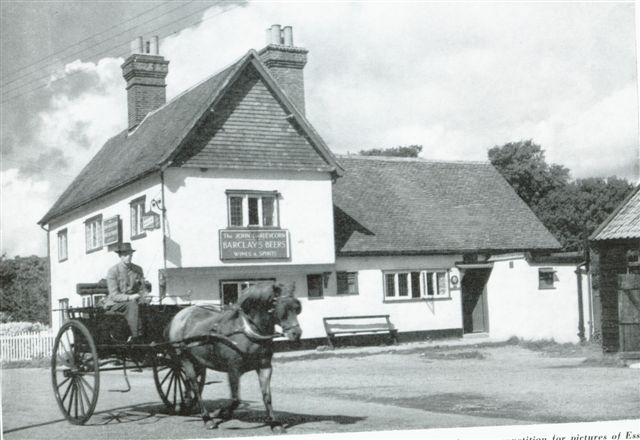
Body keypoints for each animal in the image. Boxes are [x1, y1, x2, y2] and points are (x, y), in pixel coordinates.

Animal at [168, 282, 302, 430]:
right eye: (282, 308)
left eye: (297, 308)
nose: (297, 333)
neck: (247, 331)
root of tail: (180, 315)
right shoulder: (233, 369)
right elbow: (236, 399)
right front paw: (220, 412)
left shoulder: (265, 366)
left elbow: (266, 396)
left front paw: (274, 423)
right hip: (185, 359)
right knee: (195, 386)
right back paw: (207, 418)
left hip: (198, 361)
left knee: (188, 383)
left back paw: (185, 404)